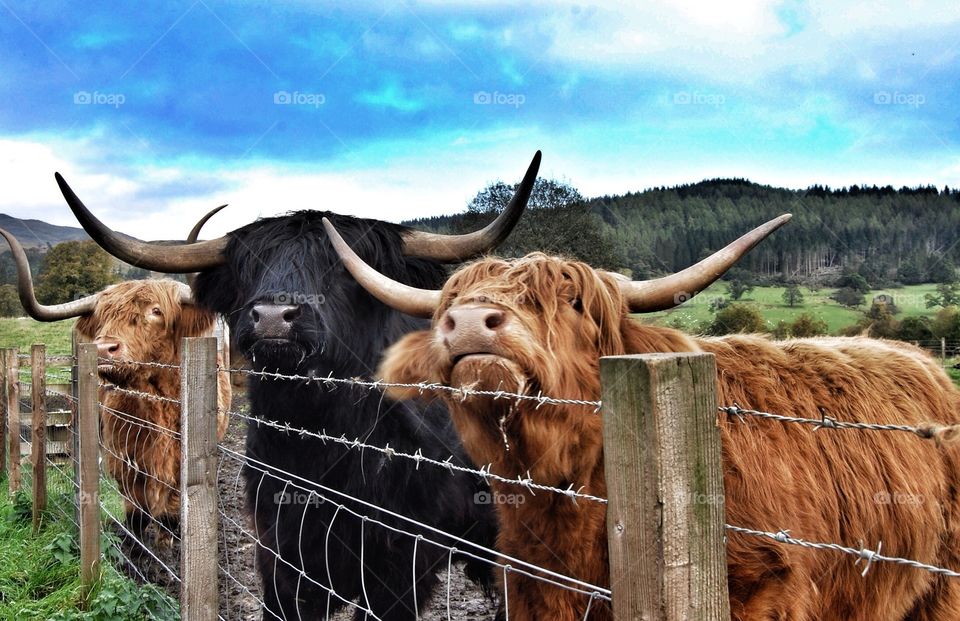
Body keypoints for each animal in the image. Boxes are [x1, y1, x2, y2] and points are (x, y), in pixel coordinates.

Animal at [0, 214, 231, 546]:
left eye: (156, 311)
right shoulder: (124, 458)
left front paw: (165, 545)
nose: (103, 349)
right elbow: (136, 512)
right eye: (103, 316)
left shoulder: (184, 464)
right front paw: (134, 547)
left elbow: (171, 513)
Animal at [55, 153, 541, 620]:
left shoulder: (400, 572)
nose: (273, 317)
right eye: (249, 266)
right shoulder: (281, 553)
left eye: (341, 270)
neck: (317, 442)